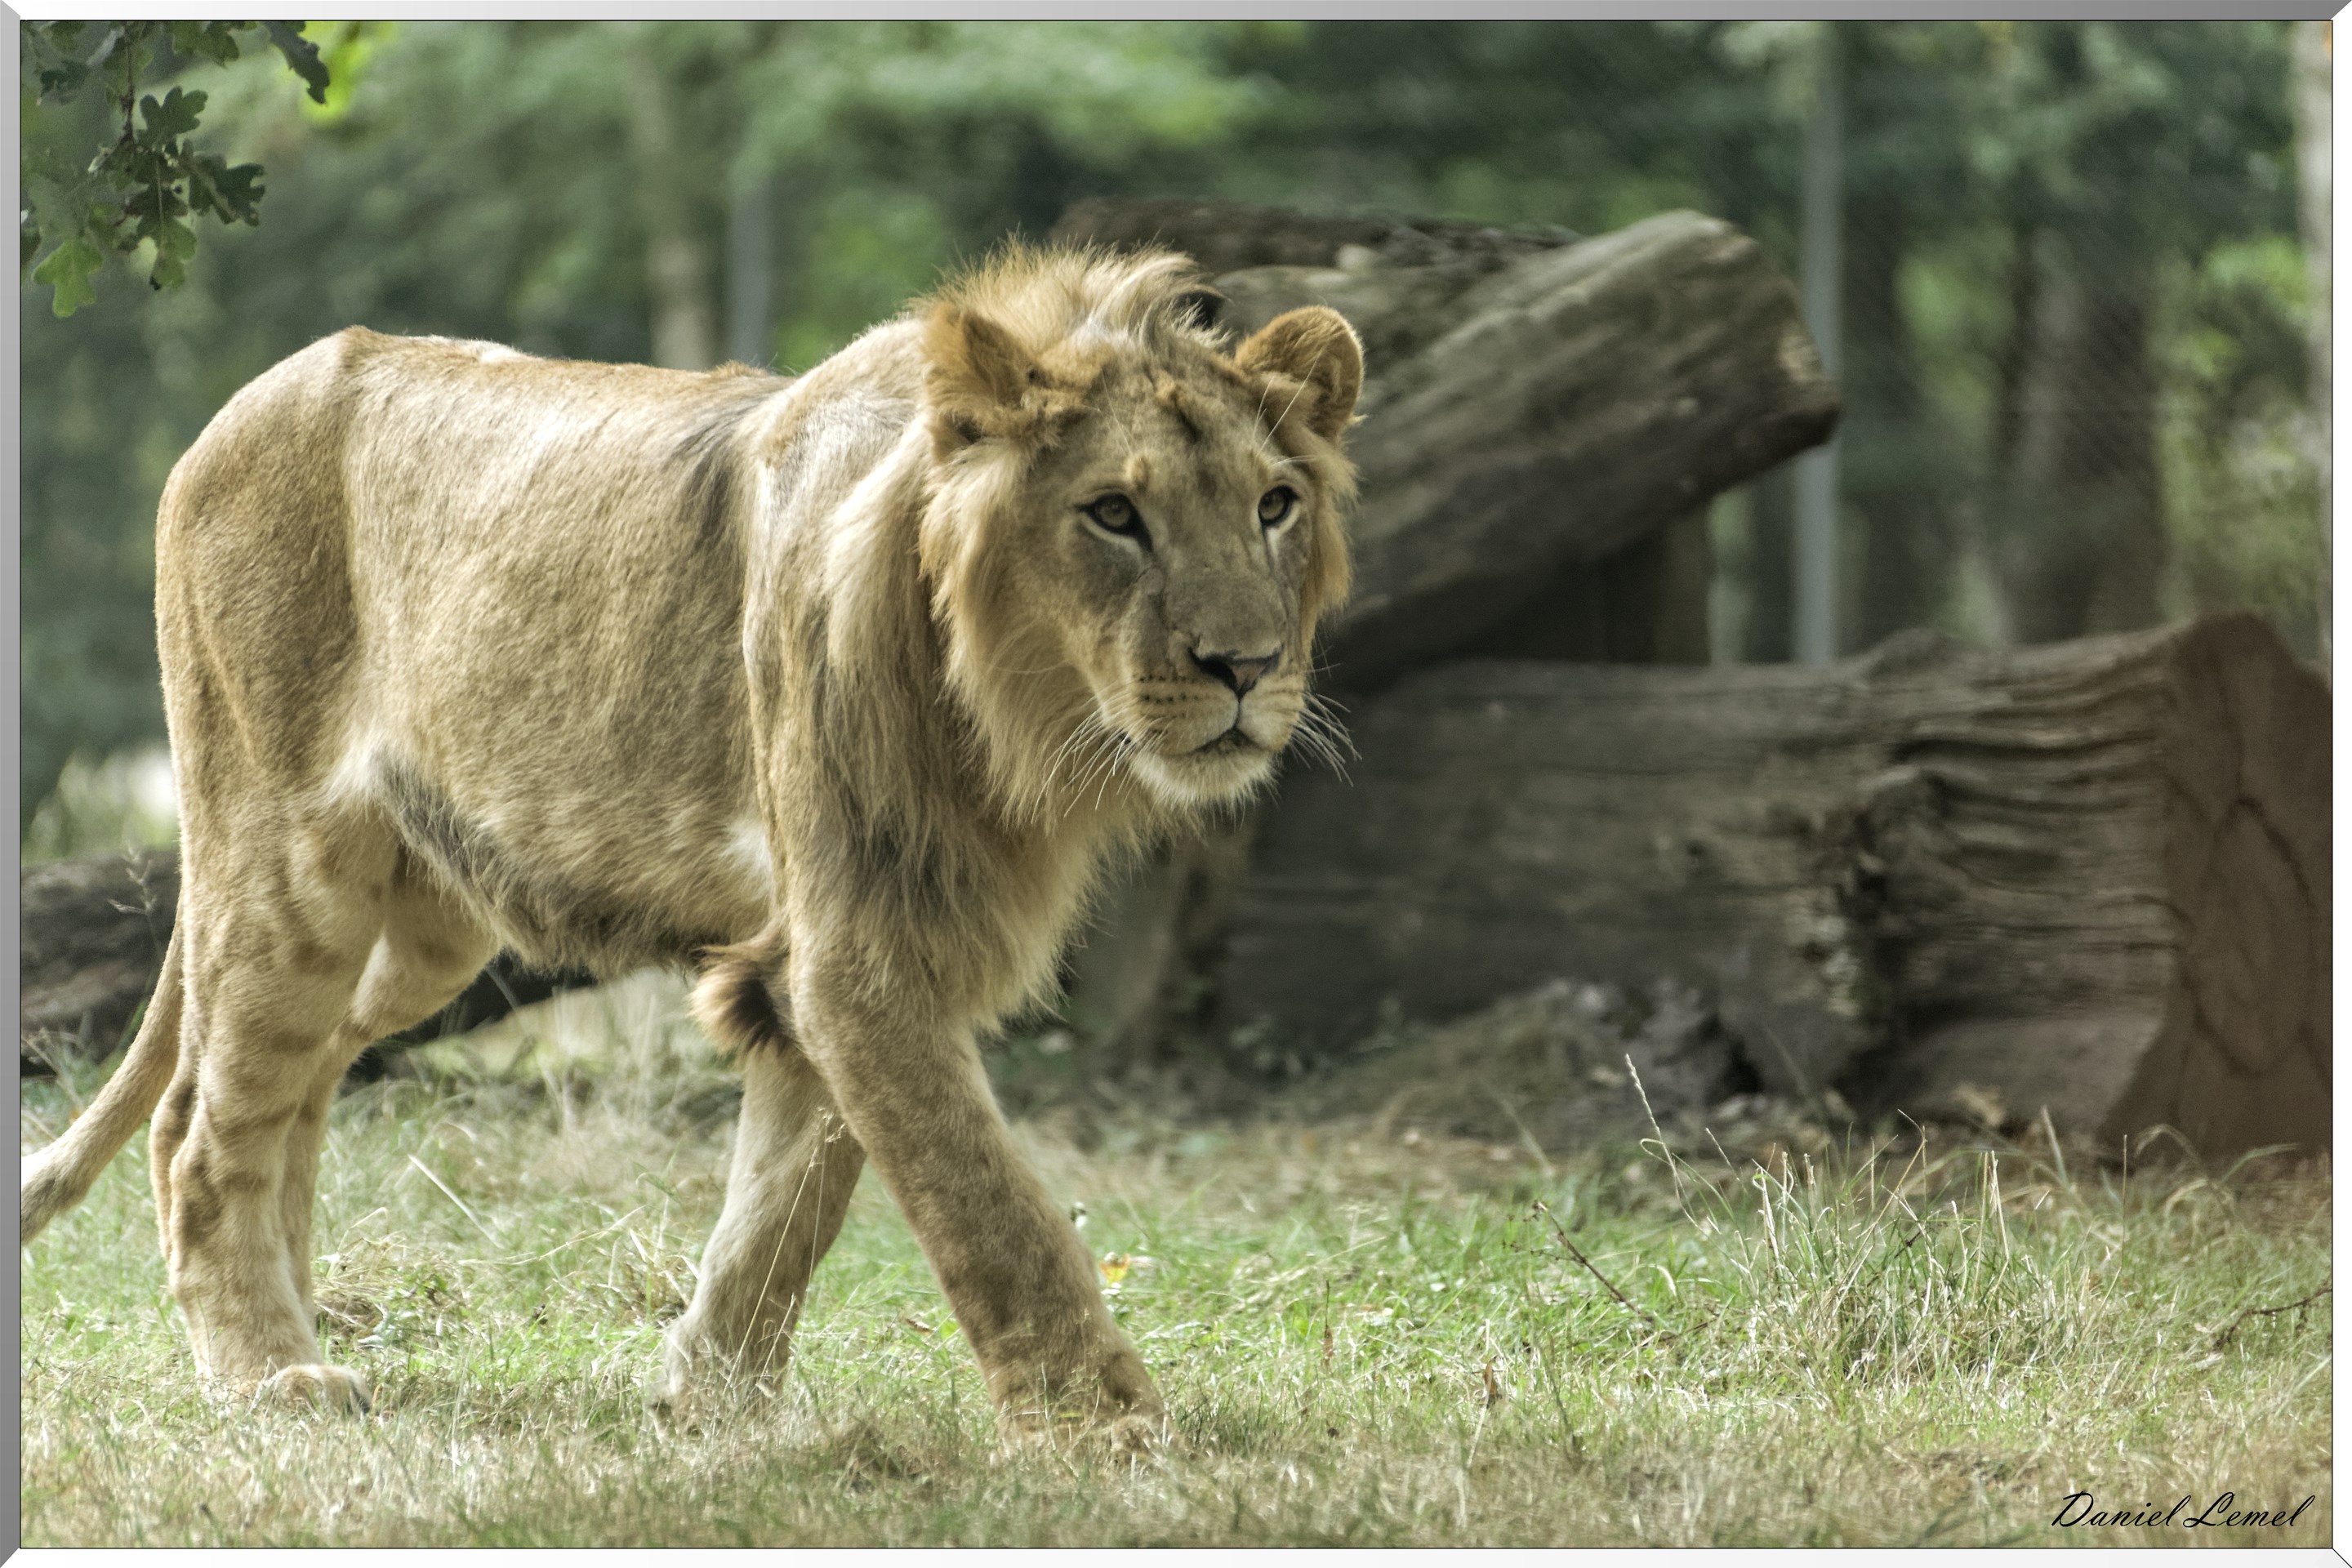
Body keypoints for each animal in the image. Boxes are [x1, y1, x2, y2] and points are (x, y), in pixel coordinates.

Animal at [18, 244, 1362, 1443]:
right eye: (1114, 514)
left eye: (1274, 505)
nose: (1246, 668)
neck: (1011, 716)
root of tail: (242, 403)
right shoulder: (861, 950)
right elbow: (988, 1203)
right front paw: (1105, 1428)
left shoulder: (834, 955)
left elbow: (786, 1206)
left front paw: (707, 1403)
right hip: (285, 860)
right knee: (200, 1127)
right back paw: (268, 1375)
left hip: (423, 932)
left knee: (285, 1083)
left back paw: (302, 1323)